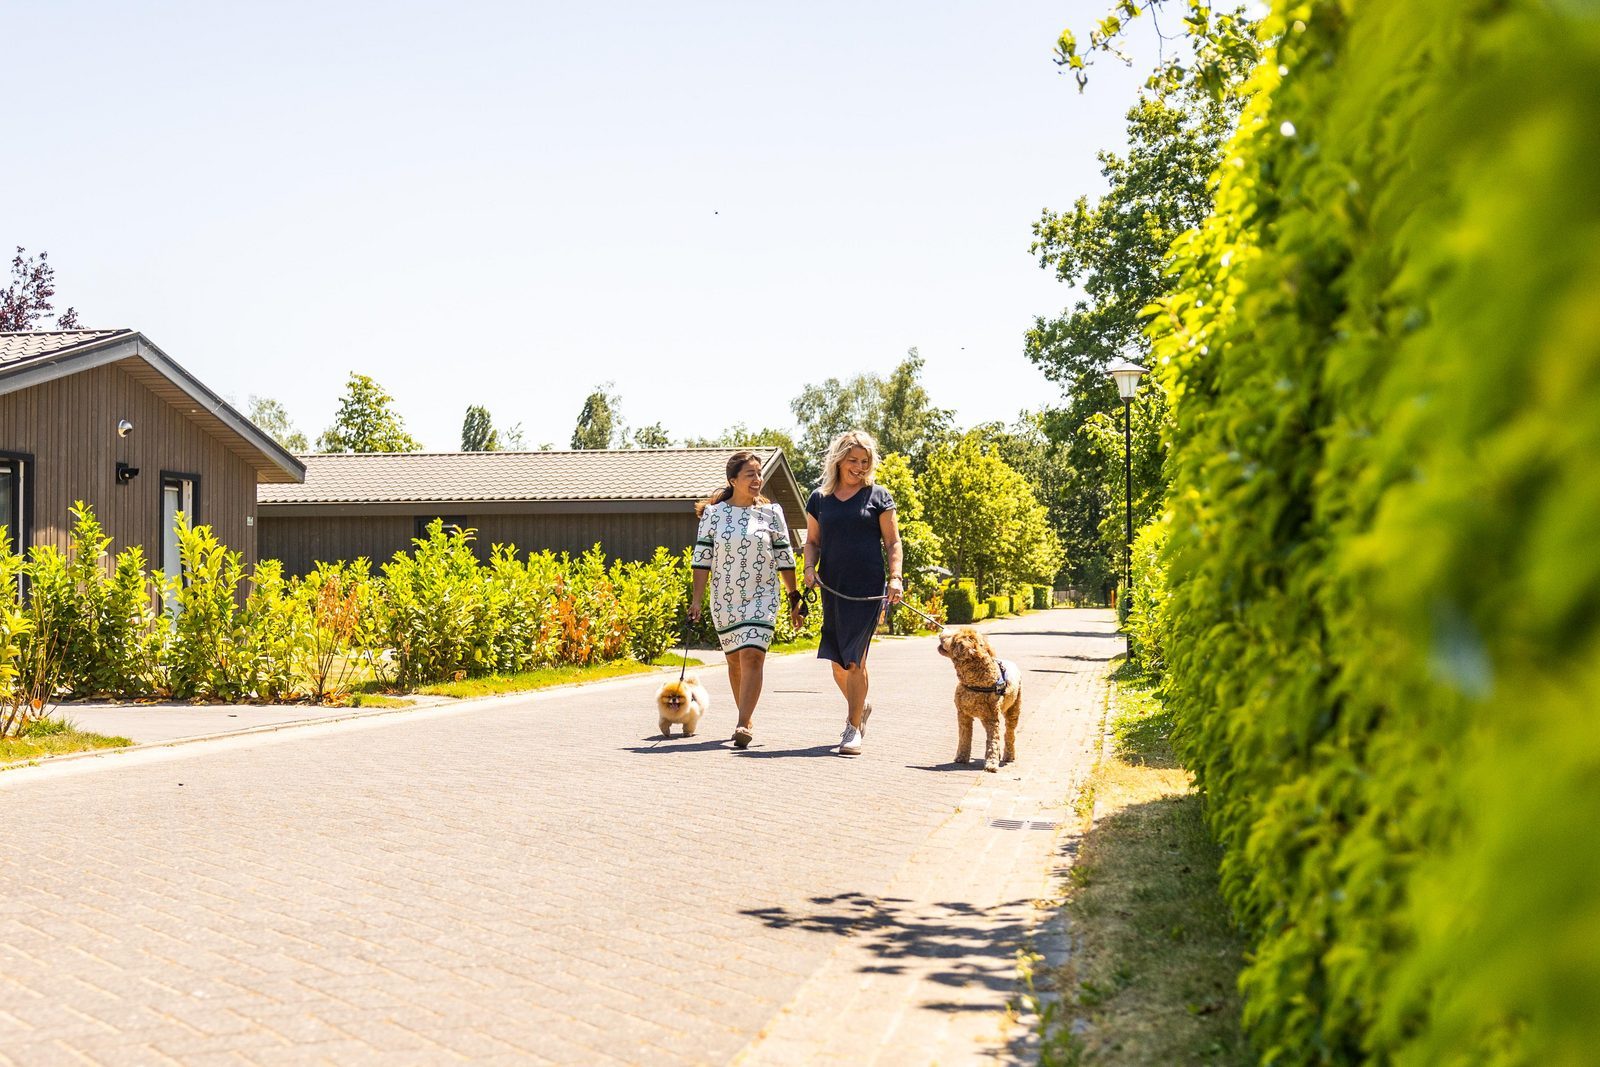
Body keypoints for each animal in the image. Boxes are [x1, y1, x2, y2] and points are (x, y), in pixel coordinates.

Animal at [934, 630, 1024, 771]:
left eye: (954, 636)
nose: (942, 631)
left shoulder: (992, 718)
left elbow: (993, 740)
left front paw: (991, 763)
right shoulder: (963, 714)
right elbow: (964, 737)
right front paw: (961, 757)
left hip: (1013, 709)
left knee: (1009, 733)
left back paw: (1009, 755)